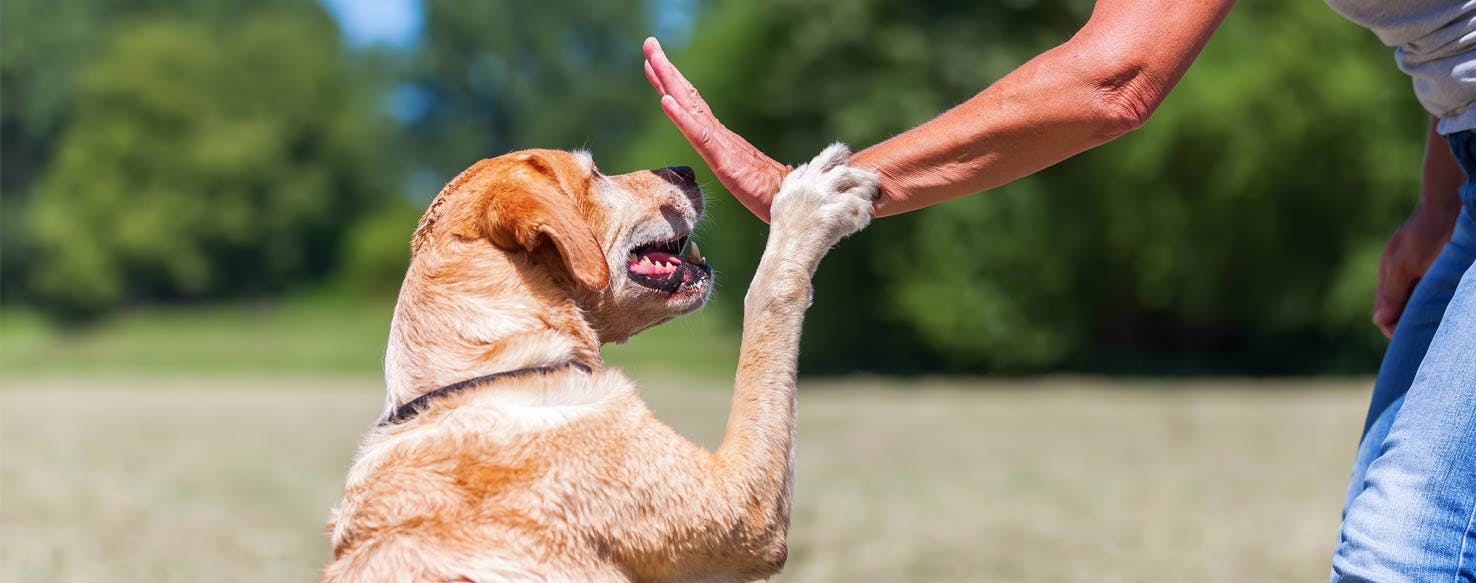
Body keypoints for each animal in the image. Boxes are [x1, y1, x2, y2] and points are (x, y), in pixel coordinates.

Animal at [324, 142, 873, 583]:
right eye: (595, 174)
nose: (686, 169)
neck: (480, 368)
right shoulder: (744, 510)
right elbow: (767, 296)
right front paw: (811, 200)